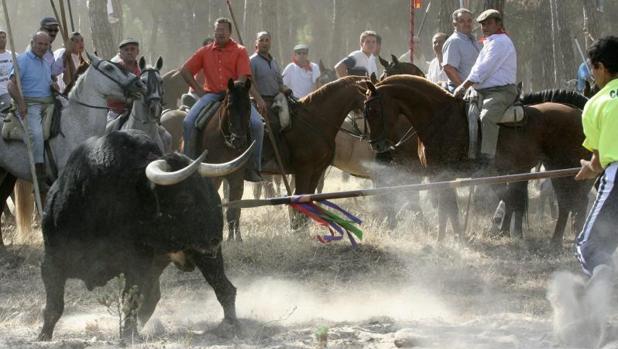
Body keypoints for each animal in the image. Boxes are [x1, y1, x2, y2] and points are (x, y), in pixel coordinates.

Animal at [37, 129, 237, 338]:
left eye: (207, 189)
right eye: (185, 197)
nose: (215, 238)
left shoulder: (137, 264)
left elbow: (130, 301)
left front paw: (128, 335)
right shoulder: (50, 262)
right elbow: (53, 307)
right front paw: (43, 336)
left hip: (205, 256)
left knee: (224, 289)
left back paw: (231, 325)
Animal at [364, 75, 588, 245]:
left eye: (373, 110)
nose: (377, 146)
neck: (439, 118)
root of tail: (578, 112)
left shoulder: (443, 173)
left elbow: (447, 208)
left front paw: (446, 240)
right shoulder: (440, 175)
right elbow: (449, 209)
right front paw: (452, 238)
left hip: (564, 165)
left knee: (574, 201)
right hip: (555, 167)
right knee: (567, 202)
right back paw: (556, 241)